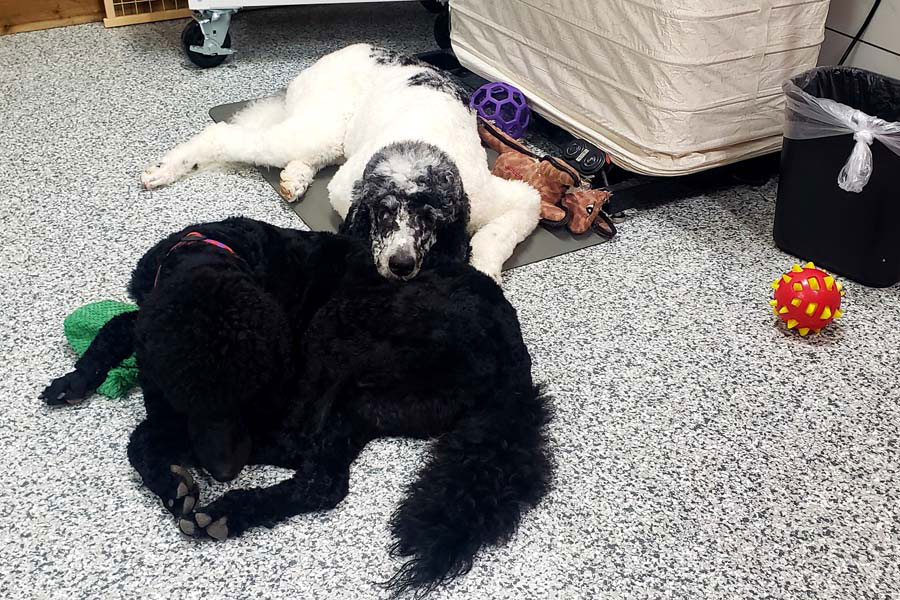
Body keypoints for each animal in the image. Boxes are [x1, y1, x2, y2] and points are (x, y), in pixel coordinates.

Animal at [44, 217, 556, 596]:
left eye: (246, 396)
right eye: (193, 400)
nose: (224, 471)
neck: (213, 253)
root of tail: (516, 365)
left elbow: (143, 432)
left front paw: (170, 475)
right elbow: (117, 326)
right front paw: (75, 380)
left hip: (338, 332)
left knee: (309, 457)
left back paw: (228, 508)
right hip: (372, 400)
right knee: (322, 476)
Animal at [143, 42, 536, 282]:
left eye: (430, 218)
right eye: (384, 213)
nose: (401, 263)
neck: (421, 148)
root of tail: (344, 50)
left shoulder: (511, 199)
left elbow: (497, 233)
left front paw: (486, 272)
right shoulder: (346, 188)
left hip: (332, 135)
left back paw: (295, 178)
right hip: (318, 127)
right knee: (223, 135)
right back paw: (163, 170)